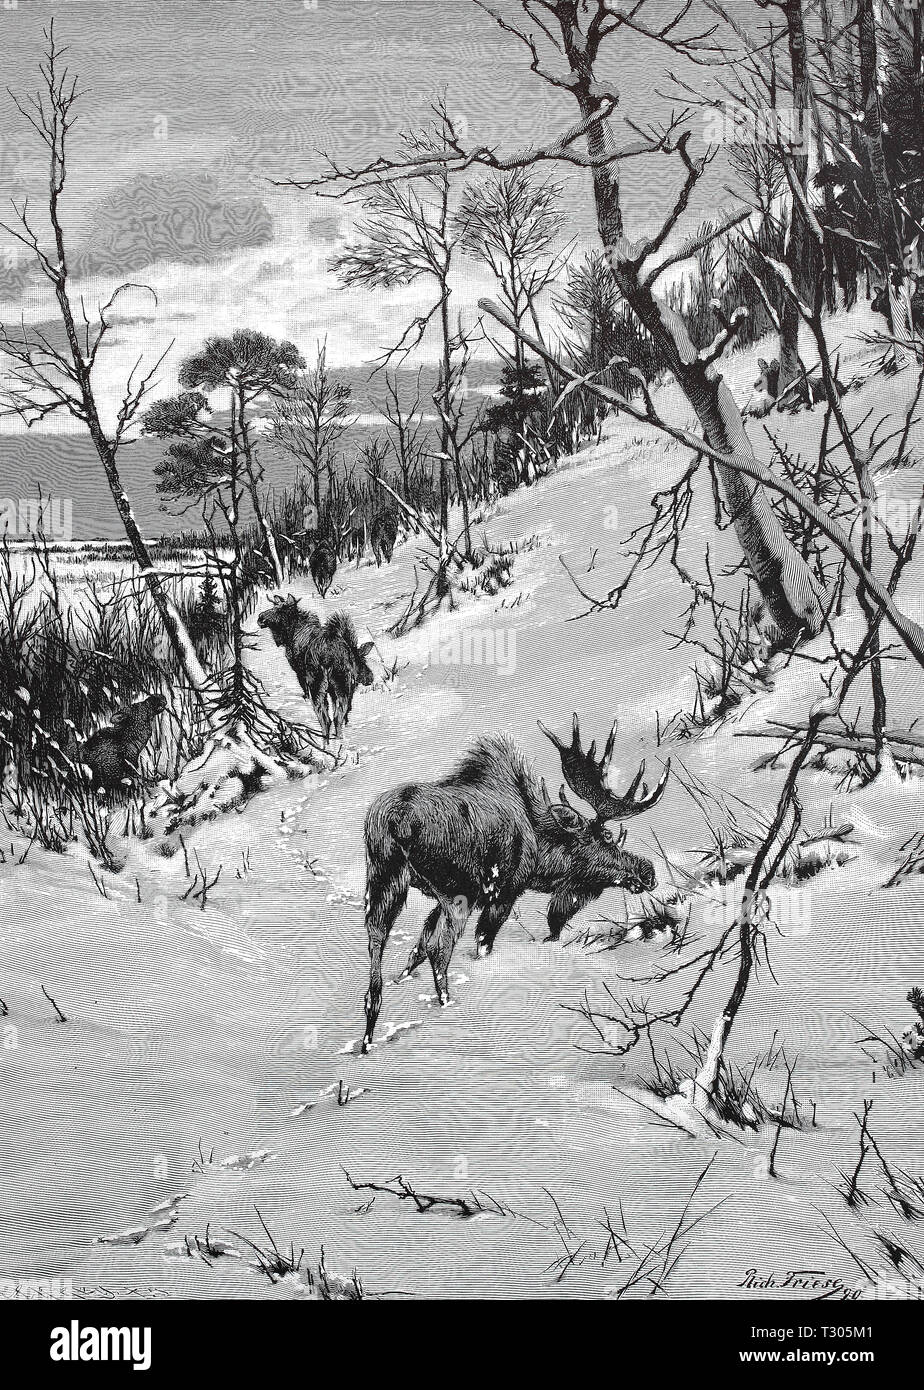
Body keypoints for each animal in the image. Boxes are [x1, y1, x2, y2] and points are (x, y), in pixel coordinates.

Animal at [257, 594, 372, 745]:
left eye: (280, 609)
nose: (260, 618)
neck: (291, 634)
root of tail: (328, 655)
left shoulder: (300, 672)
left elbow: (305, 691)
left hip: (317, 684)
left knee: (325, 719)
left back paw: (325, 745)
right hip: (341, 684)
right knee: (337, 717)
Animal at [355, 717, 666, 1050]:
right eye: (608, 837)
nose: (647, 871)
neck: (542, 855)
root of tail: (397, 821)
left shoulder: (440, 900)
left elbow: (418, 947)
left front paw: (401, 979)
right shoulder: (504, 892)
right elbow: (479, 942)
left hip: (383, 880)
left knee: (377, 943)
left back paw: (368, 1036)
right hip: (457, 891)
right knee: (442, 949)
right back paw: (447, 1005)